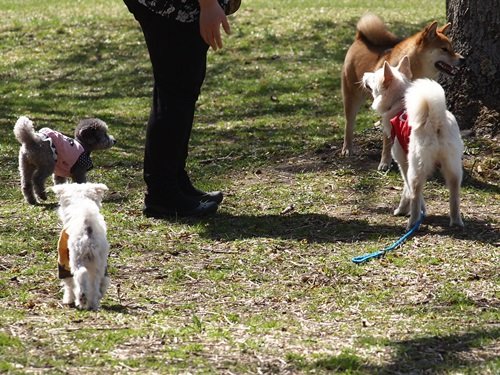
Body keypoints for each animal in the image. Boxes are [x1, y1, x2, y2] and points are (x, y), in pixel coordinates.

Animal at [50, 183, 109, 312]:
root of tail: (88, 227)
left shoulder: (63, 259)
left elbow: (68, 283)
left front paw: (68, 299)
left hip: (76, 258)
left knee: (81, 274)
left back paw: (82, 298)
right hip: (99, 261)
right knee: (96, 281)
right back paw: (93, 302)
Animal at [364, 56, 464, 231]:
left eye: (374, 76)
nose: (363, 74)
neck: (398, 101)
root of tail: (435, 120)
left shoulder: (403, 162)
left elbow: (410, 191)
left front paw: (406, 210)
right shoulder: (406, 162)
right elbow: (406, 190)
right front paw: (404, 209)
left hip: (417, 168)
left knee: (416, 192)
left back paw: (413, 222)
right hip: (453, 167)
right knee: (454, 194)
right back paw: (456, 221)